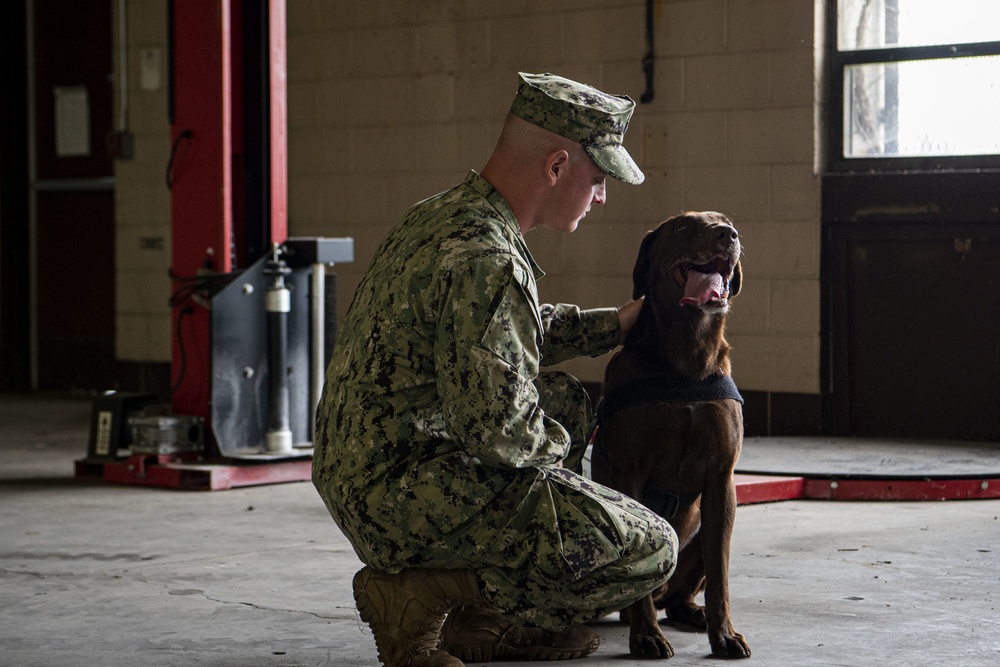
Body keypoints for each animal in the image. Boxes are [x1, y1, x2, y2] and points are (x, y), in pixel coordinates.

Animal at [588, 213, 748, 656]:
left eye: (727, 222)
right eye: (682, 228)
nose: (729, 235)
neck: (687, 360)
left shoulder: (721, 482)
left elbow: (721, 575)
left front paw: (724, 634)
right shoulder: (630, 472)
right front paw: (646, 637)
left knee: (681, 594)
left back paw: (693, 614)